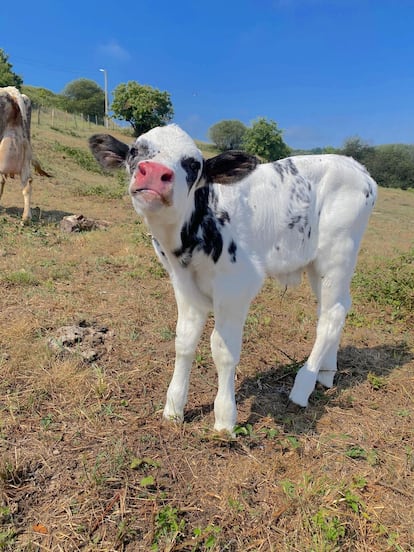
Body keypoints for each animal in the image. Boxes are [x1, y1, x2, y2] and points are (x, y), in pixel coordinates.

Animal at [89, 125, 376, 436]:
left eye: (194, 164)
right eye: (135, 151)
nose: (154, 172)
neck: (184, 242)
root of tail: (357, 166)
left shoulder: (237, 285)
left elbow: (222, 349)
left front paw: (225, 418)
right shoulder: (183, 284)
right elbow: (184, 340)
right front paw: (174, 408)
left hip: (337, 253)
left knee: (332, 315)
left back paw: (303, 387)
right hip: (319, 264)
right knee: (335, 307)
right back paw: (326, 372)